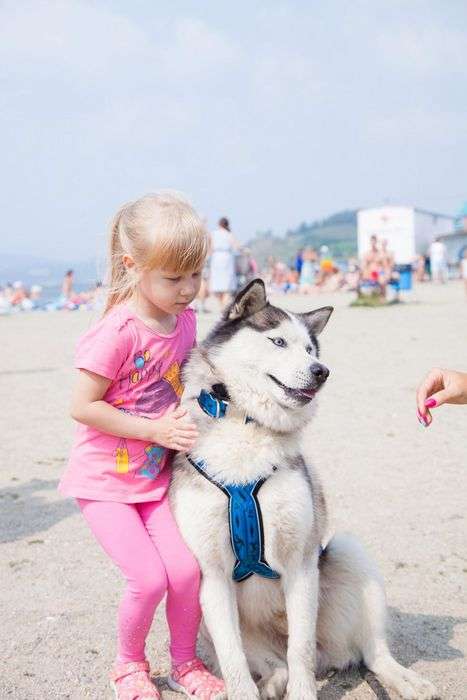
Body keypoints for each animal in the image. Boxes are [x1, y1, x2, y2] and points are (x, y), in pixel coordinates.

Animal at [171, 280, 438, 700]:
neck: (247, 424)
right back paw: (270, 683)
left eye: (312, 350)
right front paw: (246, 690)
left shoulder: (301, 563)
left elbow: (301, 651)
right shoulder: (210, 574)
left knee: (371, 652)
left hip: (347, 554)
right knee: (273, 665)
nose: (322, 371)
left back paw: (407, 681)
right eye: (278, 341)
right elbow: (233, 661)